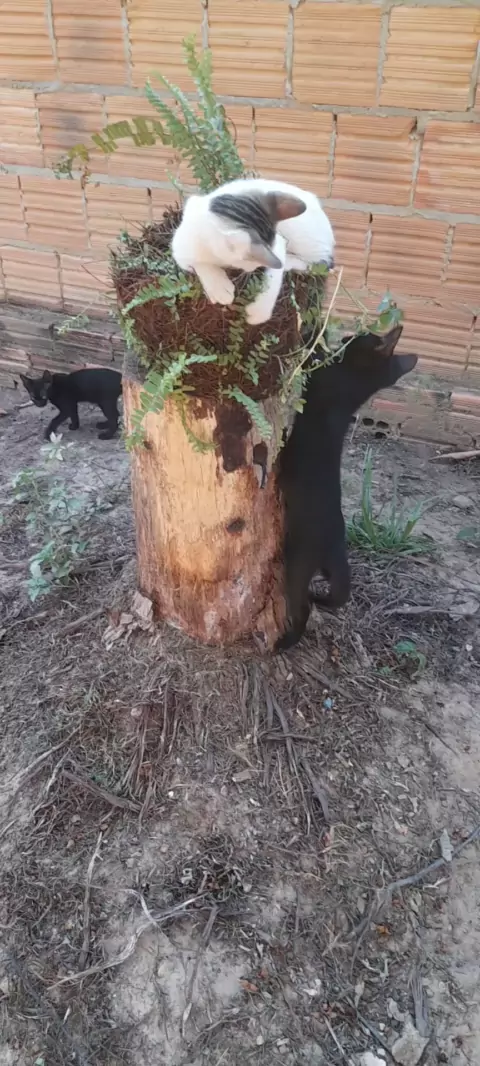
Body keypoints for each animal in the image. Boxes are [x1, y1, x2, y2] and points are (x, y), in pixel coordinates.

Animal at [171, 177, 334, 327]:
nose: (256, 268)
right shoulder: (180, 249)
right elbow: (199, 264)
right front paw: (219, 286)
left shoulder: (277, 244)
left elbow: (274, 275)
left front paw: (259, 311)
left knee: (320, 265)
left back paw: (290, 261)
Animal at [275, 325, 418, 651]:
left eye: (358, 338)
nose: (345, 336)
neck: (357, 385)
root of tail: (336, 543)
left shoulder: (321, 375)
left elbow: (313, 354)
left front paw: (313, 330)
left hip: (297, 560)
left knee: (303, 606)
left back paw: (286, 641)